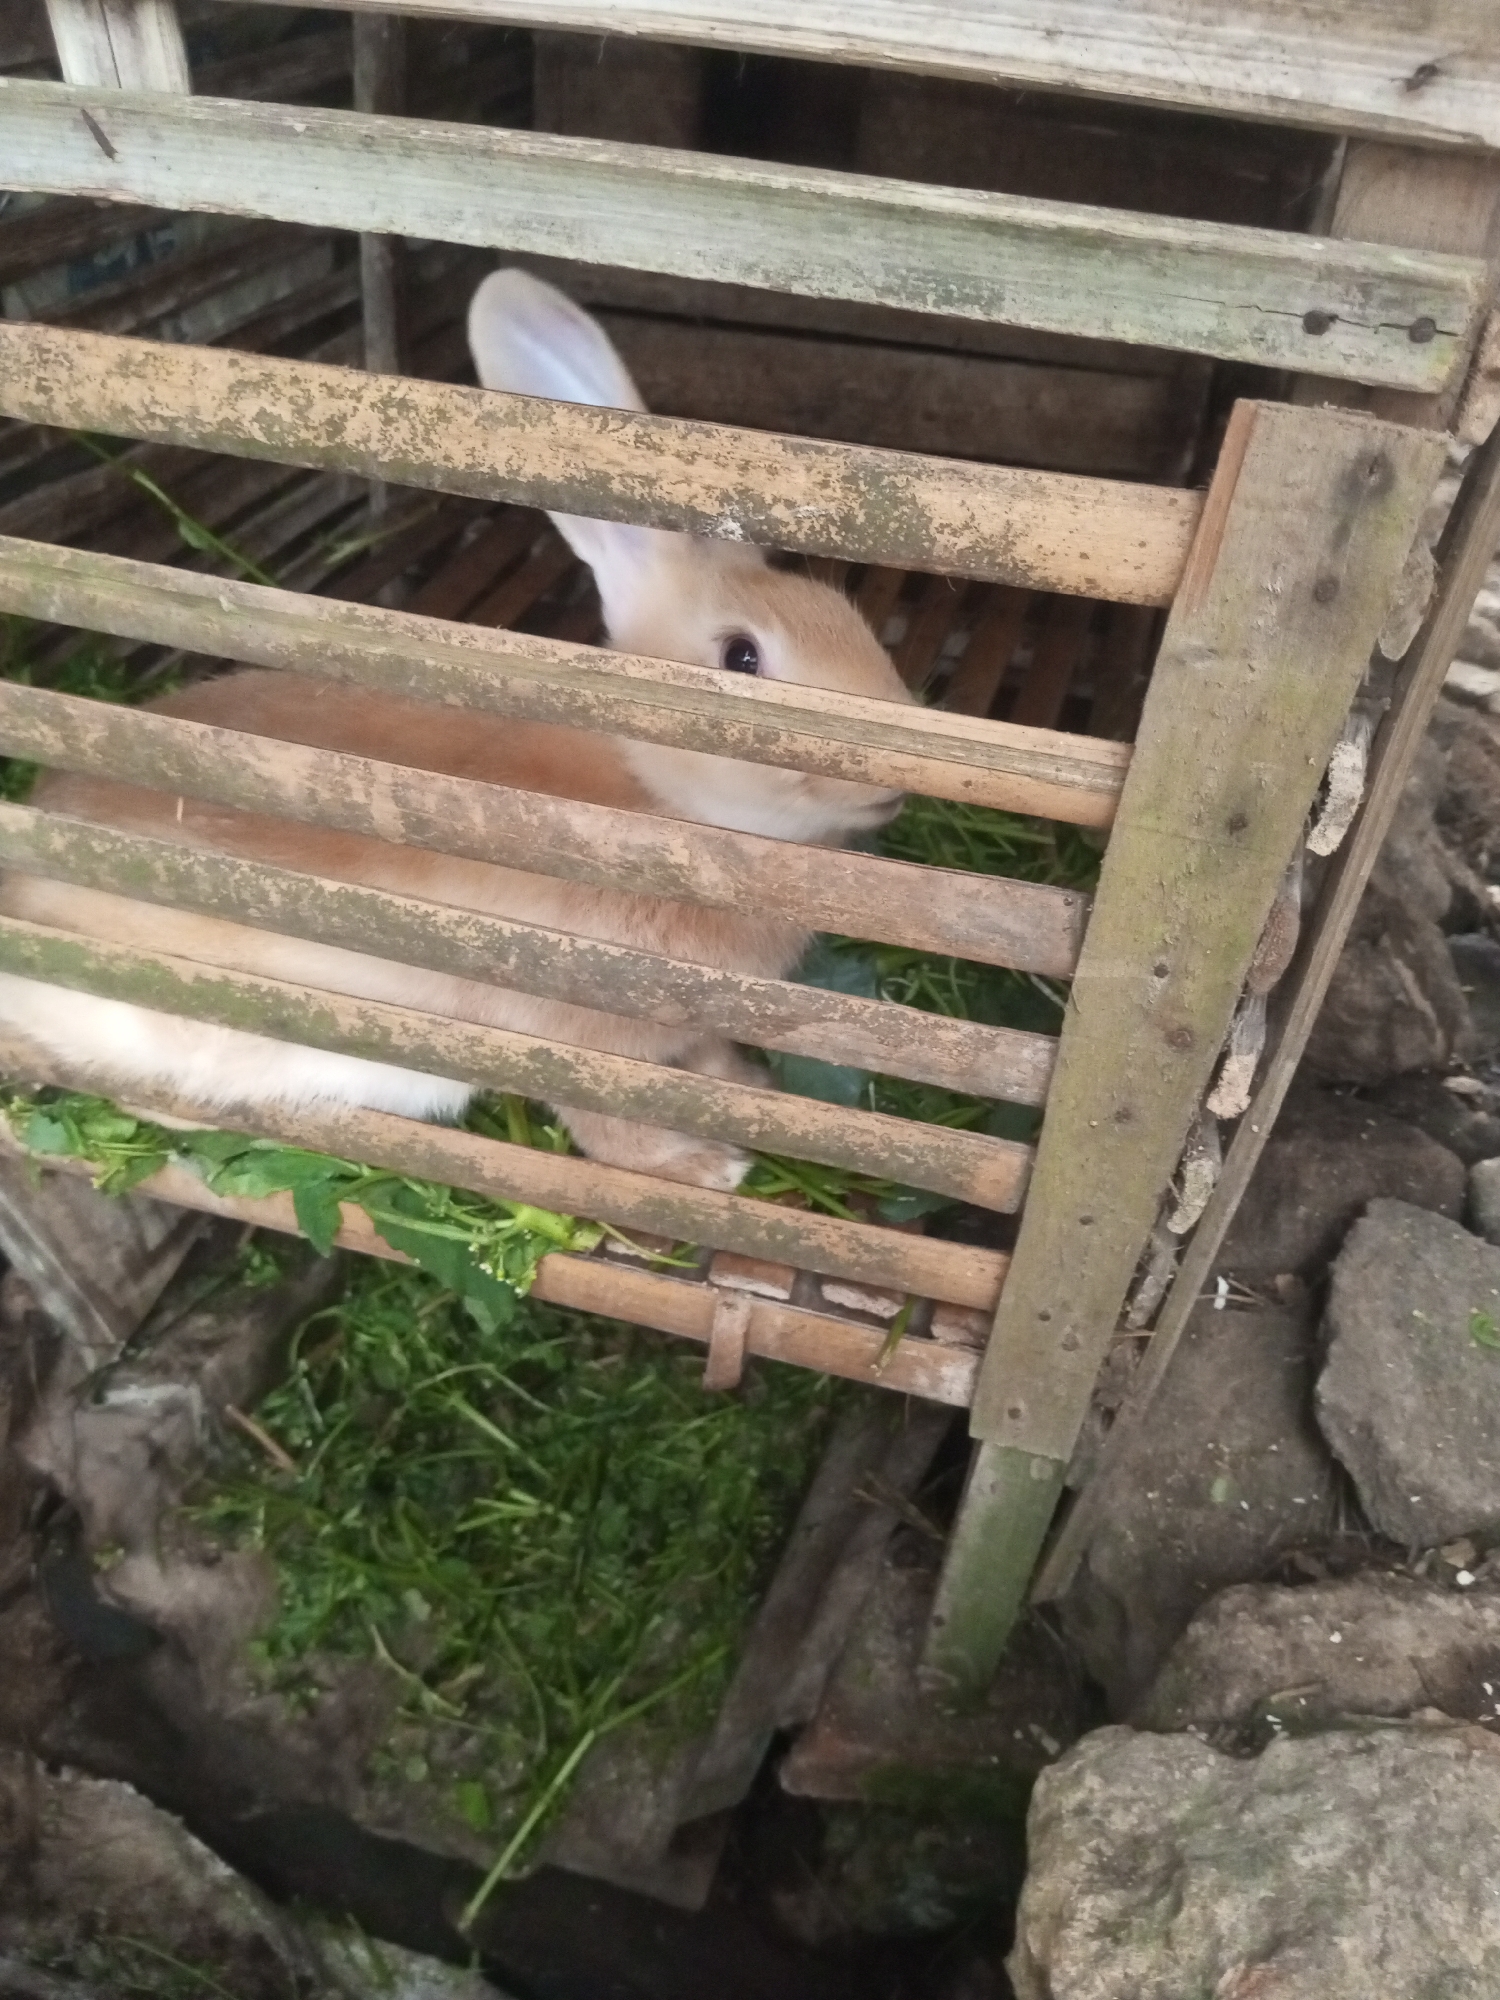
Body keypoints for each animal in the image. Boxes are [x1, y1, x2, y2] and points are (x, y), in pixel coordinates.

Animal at [0, 269, 912, 1191]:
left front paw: (754, 1091)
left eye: (851, 619)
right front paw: (706, 1168)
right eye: (741, 657)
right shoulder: (571, 1040)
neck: (659, 797)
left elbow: (715, 1068)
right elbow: (607, 1125)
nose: (896, 781)